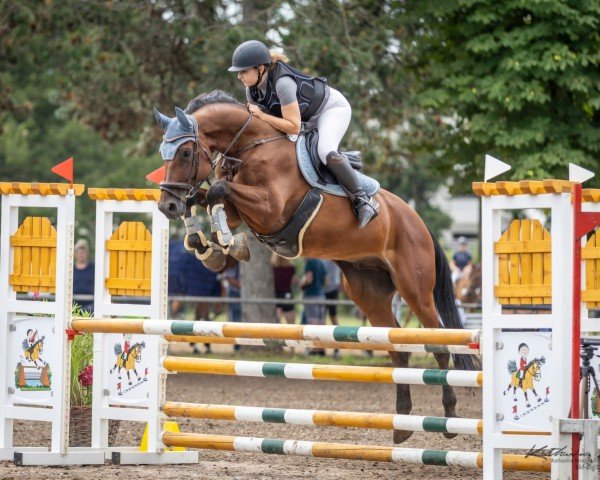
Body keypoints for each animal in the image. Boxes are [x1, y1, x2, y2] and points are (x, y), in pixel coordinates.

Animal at [154, 89, 478, 442]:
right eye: (163, 153)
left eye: (186, 152)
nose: (166, 206)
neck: (251, 145)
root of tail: (419, 224)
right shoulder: (242, 211)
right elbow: (203, 197)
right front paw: (206, 245)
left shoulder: (270, 208)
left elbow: (215, 189)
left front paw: (225, 243)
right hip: (370, 294)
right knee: (398, 349)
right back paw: (402, 426)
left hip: (415, 289)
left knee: (439, 344)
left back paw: (449, 419)